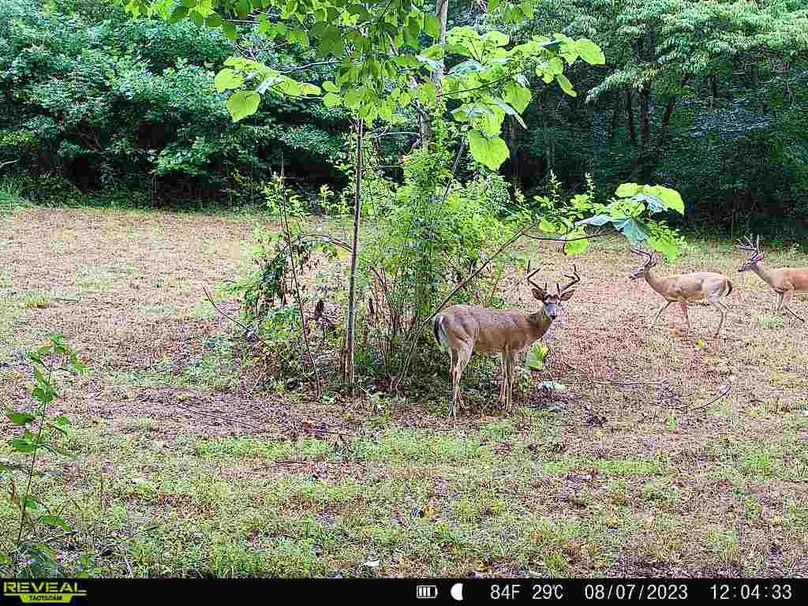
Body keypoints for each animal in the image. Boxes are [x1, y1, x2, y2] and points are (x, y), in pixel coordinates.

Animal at [433, 265, 580, 418]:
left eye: (559, 303)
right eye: (545, 302)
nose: (553, 315)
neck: (529, 327)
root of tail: (439, 317)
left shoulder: (503, 348)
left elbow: (503, 373)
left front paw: (501, 401)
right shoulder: (514, 346)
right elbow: (510, 376)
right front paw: (509, 406)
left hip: (453, 347)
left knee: (452, 370)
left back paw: (462, 405)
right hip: (464, 343)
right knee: (457, 371)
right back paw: (453, 410)